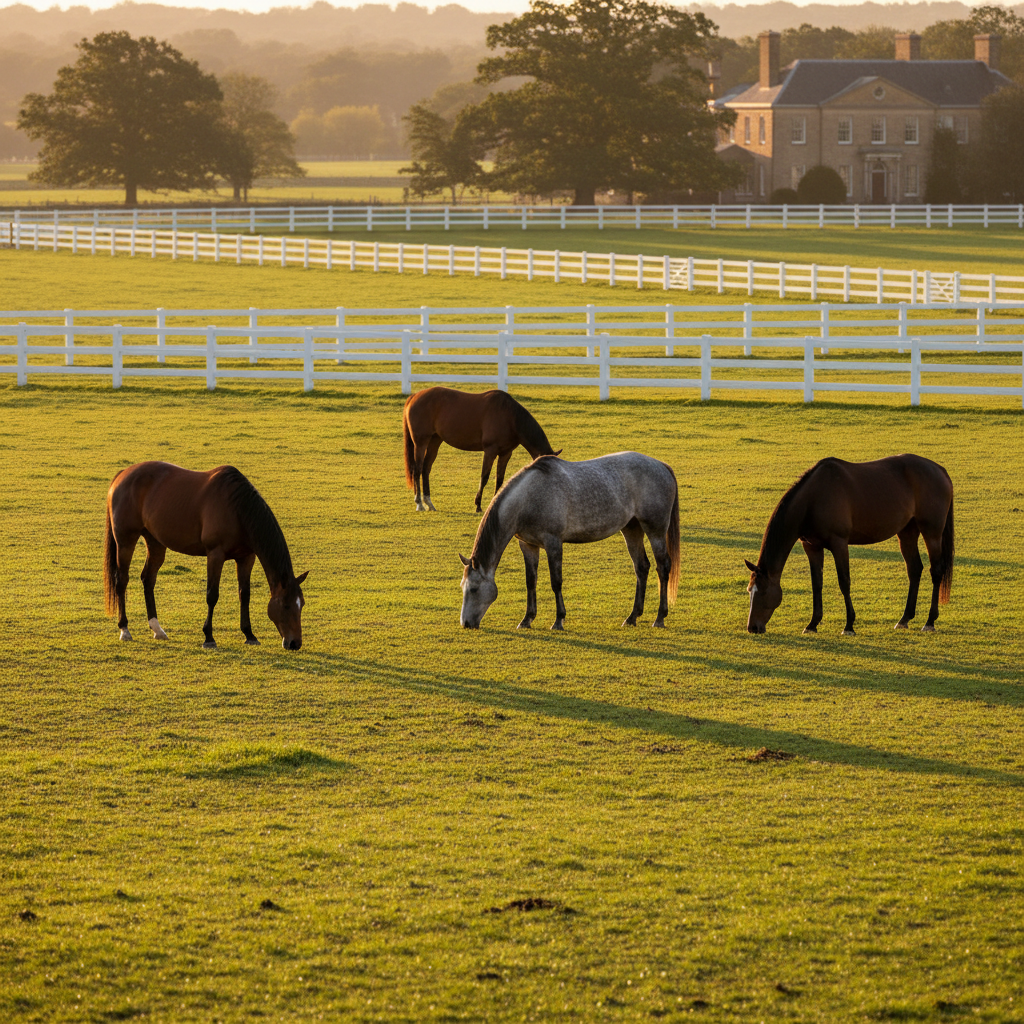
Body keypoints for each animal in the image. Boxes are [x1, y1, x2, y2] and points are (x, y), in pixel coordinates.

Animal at [104, 462, 309, 649]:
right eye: (286, 605)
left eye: (302, 605)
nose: (294, 643)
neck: (237, 508)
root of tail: (123, 474)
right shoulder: (215, 554)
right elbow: (212, 595)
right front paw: (208, 637)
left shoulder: (246, 557)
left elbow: (245, 594)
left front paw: (249, 634)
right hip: (126, 541)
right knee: (122, 580)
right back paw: (124, 629)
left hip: (155, 542)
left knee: (148, 579)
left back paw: (157, 629)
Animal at [403, 387, 559, 512]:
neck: (509, 416)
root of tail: (414, 396)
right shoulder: (490, 451)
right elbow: (484, 477)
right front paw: (478, 505)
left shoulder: (505, 454)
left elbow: (500, 480)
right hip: (421, 443)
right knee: (417, 470)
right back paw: (419, 503)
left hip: (435, 441)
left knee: (425, 469)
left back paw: (429, 503)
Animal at [459, 452, 680, 631]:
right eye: (462, 587)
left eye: (474, 589)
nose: (466, 624)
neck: (528, 498)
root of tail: (662, 466)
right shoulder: (528, 545)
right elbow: (531, 581)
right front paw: (527, 619)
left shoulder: (553, 543)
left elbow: (556, 581)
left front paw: (558, 620)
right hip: (632, 530)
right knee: (641, 567)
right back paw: (632, 617)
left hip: (655, 531)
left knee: (663, 567)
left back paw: (659, 618)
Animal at [744, 454, 954, 636]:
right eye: (749, 591)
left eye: (762, 591)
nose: (752, 627)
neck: (813, 499)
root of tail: (940, 470)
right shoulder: (812, 546)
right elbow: (817, 584)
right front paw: (812, 624)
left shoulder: (839, 543)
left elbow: (844, 582)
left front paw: (849, 626)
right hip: (907, 533)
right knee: (914, 569)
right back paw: (904, 619)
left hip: (932, 533)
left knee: (936, 571)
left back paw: (929, 622)